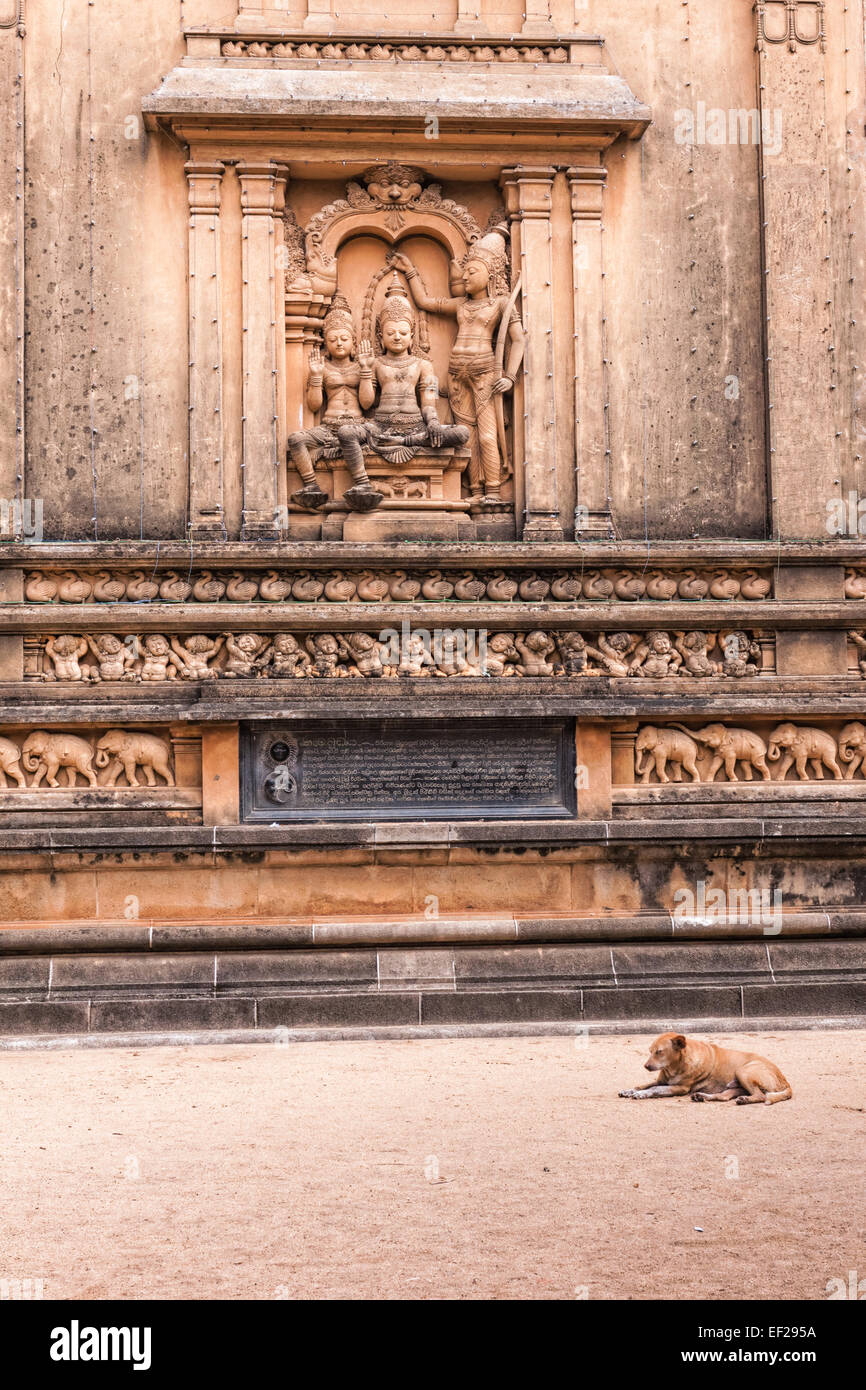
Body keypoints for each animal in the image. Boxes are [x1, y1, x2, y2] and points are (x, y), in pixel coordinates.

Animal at [617, 1034, 795, 1106]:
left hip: (743, 1072)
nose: (646, 1066)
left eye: (659, 1052)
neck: (675, 1067)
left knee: (760, 1095)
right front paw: (630, 1090)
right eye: (650, 1051)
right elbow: (643, 1084)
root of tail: (785, 1080)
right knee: (724, 1096)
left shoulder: (679, 1088)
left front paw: (641, 1094)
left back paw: (745, 1100)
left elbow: (654, 1089)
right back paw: (701, 1097)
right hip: (735, 1086)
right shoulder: (661, 1080)